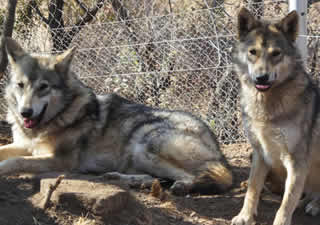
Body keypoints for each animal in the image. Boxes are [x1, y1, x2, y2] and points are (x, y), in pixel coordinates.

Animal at [0, 37, 232, 194]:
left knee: (195, 177)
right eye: (21, 85)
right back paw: (124, 179)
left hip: (144, 143)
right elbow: (6, 151)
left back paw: (181, 185)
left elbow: (16, 162)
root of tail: (219, 151)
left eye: (43, 87)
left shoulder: (60, 161)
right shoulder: (25, 145)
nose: (25, 112)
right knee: (155, 179)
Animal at [231, 7, 320, 225]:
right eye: (252, 52)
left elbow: (286, 203)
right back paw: (307, 203)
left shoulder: (296, 161)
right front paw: (244, 216)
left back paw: (314, 205)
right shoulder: (259, 152)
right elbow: (252, 190)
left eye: (276, 54)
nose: (261, 78)